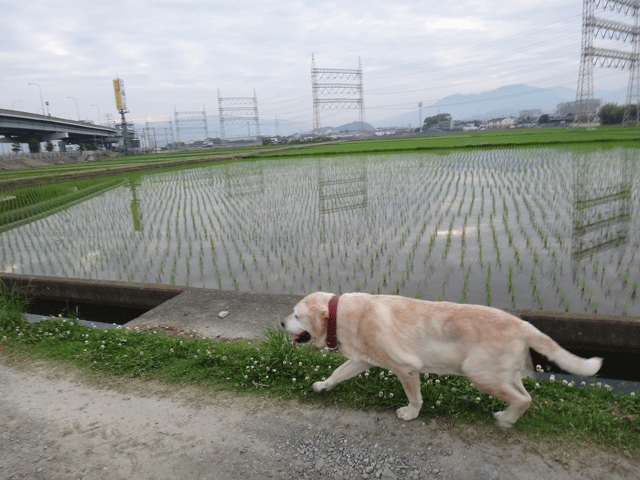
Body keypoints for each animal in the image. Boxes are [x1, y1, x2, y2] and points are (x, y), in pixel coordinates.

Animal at [282, 290, 604, 426]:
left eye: (297, 315)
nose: (282, 322)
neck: (340, 314)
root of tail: (525, 325)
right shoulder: (363, 359)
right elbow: (337, 374)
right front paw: (322, 385)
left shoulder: (406, 368)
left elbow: (414, 397)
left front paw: (410, 414)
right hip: (500, 374)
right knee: (523, 395)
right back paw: (508, 415)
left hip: (480, 374)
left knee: (524, 399)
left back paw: (505, 419)